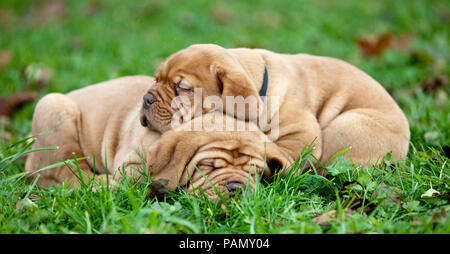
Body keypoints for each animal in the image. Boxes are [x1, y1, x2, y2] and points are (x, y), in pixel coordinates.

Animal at [24, 75, 288, 200]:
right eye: (206, 167)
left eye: (255, 173)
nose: (236, 187)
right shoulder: (130, 164)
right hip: (54, 108)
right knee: (65, 173)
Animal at [142, 43, 412, 173]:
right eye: (156, 79)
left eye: (182, 88)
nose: (146, 98)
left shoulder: (302, 133)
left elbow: (283, 150)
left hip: (347, 125)